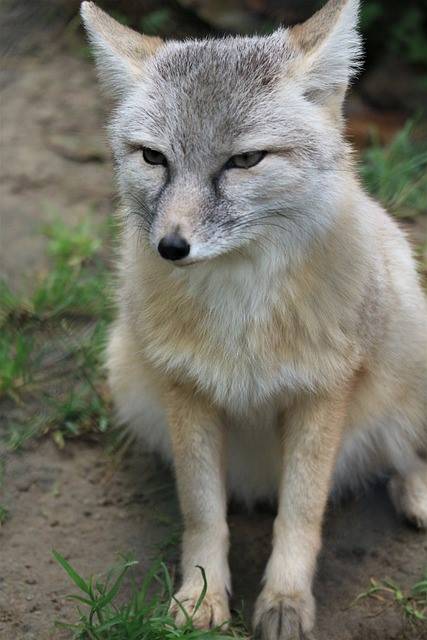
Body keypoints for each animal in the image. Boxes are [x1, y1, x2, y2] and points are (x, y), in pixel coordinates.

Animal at [81, 2, 427, 636]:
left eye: (244, 160)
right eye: (153, 157)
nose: (170, 246)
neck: (240, 318)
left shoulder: (322, 394)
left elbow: (300, 515)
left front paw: (286, 599)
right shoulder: (185, 392)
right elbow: (202, 515)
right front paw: (201, 597)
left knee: (403, 447)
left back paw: (414, 491)